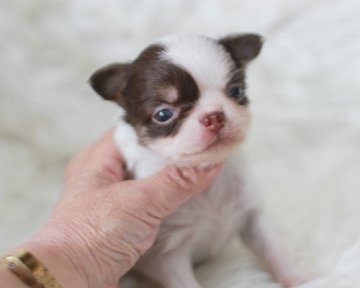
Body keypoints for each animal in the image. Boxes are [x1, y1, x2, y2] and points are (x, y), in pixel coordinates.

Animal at [90, 34, 304, 288]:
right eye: (163, 115)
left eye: (235, 92)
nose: (215, 117)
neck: (210, 189)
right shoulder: (168, 254)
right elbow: (186, 282)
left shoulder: (252, 214)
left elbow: (275, 250)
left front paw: (301, 279)